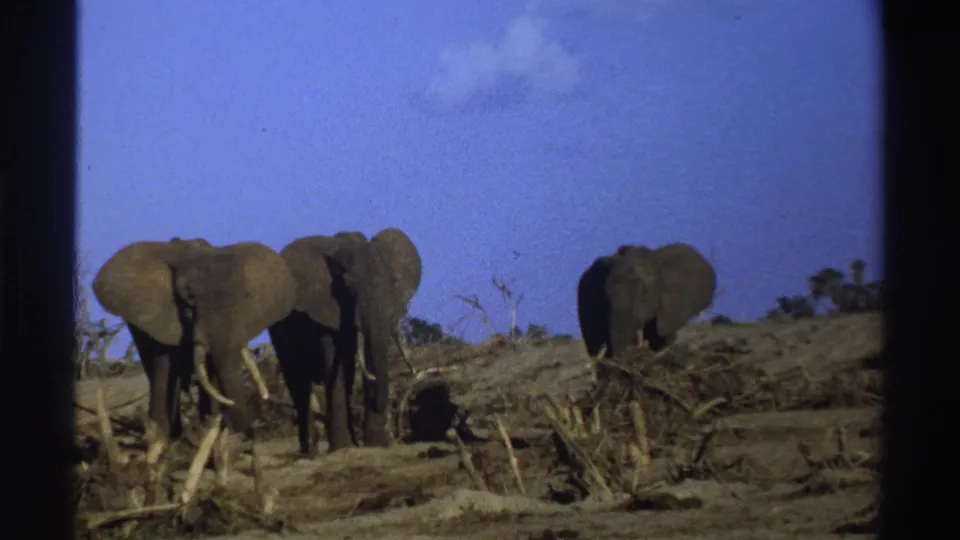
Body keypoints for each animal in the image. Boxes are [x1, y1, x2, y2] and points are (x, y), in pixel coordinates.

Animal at [91, 236, 297, 503]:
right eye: (188, 306)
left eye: (246, 299)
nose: (253, 431)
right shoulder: (161, 322)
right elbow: (163, 377)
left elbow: (212, 389)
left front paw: (219, 488)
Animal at [267, 227, 422, 456]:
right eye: (349, 288)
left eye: (392, 285)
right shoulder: (322, 307)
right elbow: (334, 360)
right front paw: (343, 447)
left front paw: (376, 444)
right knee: (298, 383)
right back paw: (309, 452)